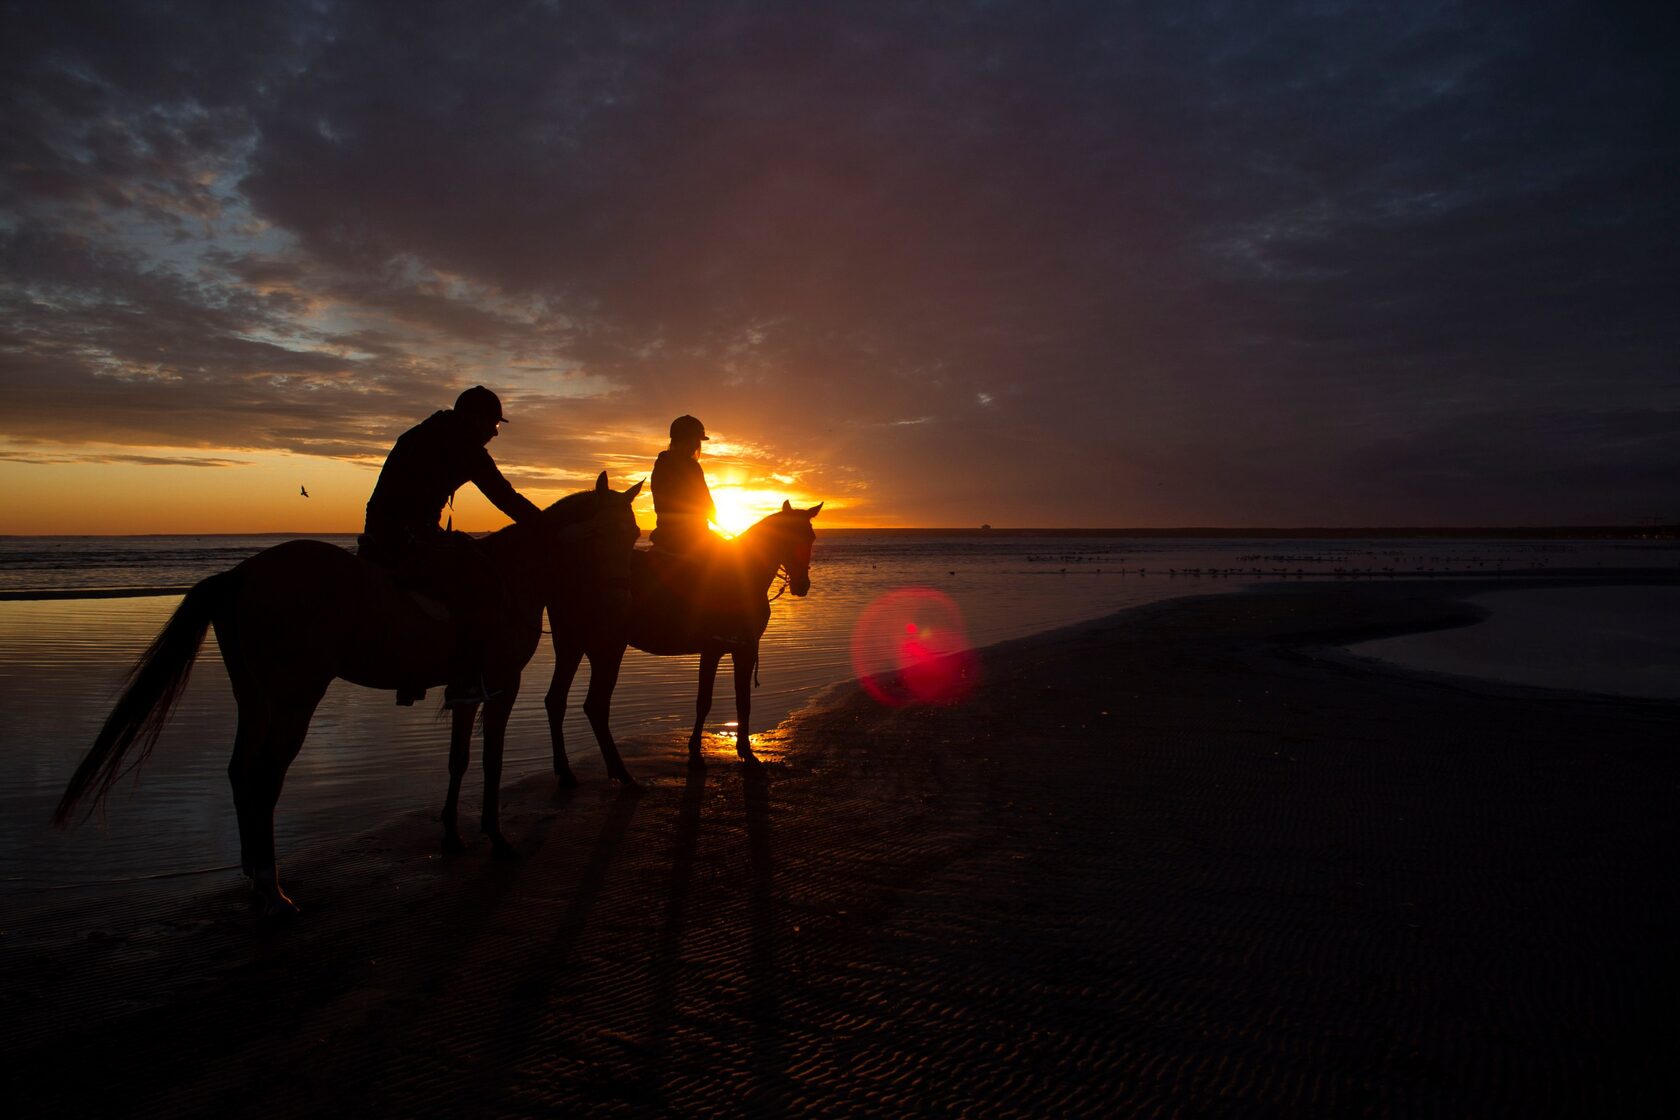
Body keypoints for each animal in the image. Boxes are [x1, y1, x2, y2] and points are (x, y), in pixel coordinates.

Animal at [52, 473, 641, 920]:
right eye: (619, 533)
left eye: (636, 533)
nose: (620, 597)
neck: (516, 572)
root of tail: (242, 574)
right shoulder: (500, 684)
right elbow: (490, 762)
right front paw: (495, 837)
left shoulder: (466, 690)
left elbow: (457, 761)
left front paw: (452, 834)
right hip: (296, 697)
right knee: (265, 778)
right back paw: (273, 890)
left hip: (254, 697)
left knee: (241, 771)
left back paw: (253, 877)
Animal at [544, 500, 819, 779]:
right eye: (787, 537)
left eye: (811, 537)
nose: (802, 585)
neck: (740, 577)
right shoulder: (723, 650)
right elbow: (713, 701)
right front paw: (712, 751)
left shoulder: (735, 649)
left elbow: (734, 701)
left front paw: (730, 750)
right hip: (606, 647)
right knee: (594, 705)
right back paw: (619, 772)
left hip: (571, 645)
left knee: (557, 700)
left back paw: (566, 770)